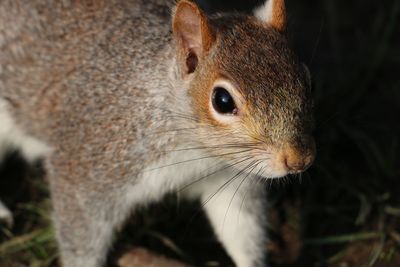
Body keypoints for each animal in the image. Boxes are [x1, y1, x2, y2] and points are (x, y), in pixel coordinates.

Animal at [1, 0, 318, 267]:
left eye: (307, 79)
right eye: (222, 100)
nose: (299, 160)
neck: (194, 150)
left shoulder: (226, 179)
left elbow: (241, 229)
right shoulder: (90, 164)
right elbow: (81, 235)